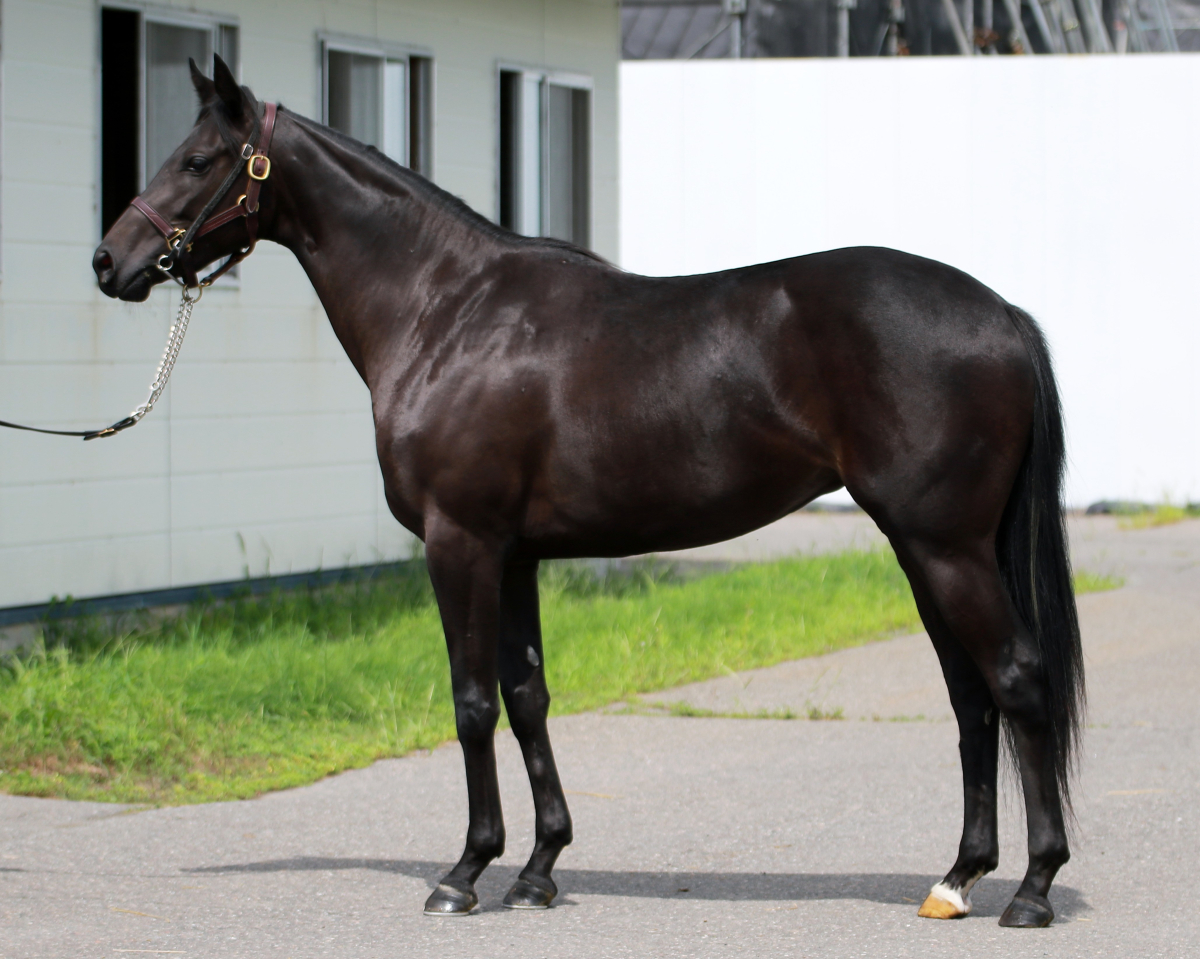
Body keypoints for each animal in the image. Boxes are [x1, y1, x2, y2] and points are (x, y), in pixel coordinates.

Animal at [93, 56, 1083, 928]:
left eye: (197, 160)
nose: (109, 261)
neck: (446, 311)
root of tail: (1002, 313)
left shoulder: (460, 541)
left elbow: (471, 700)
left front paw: (465, 871)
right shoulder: (516, 554)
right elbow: (528, 694)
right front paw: (538, 868)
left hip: (946, 547)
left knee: (1017, 679)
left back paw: (1032, 890)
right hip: (925, 549)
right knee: (971, 697)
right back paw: (956, 879)